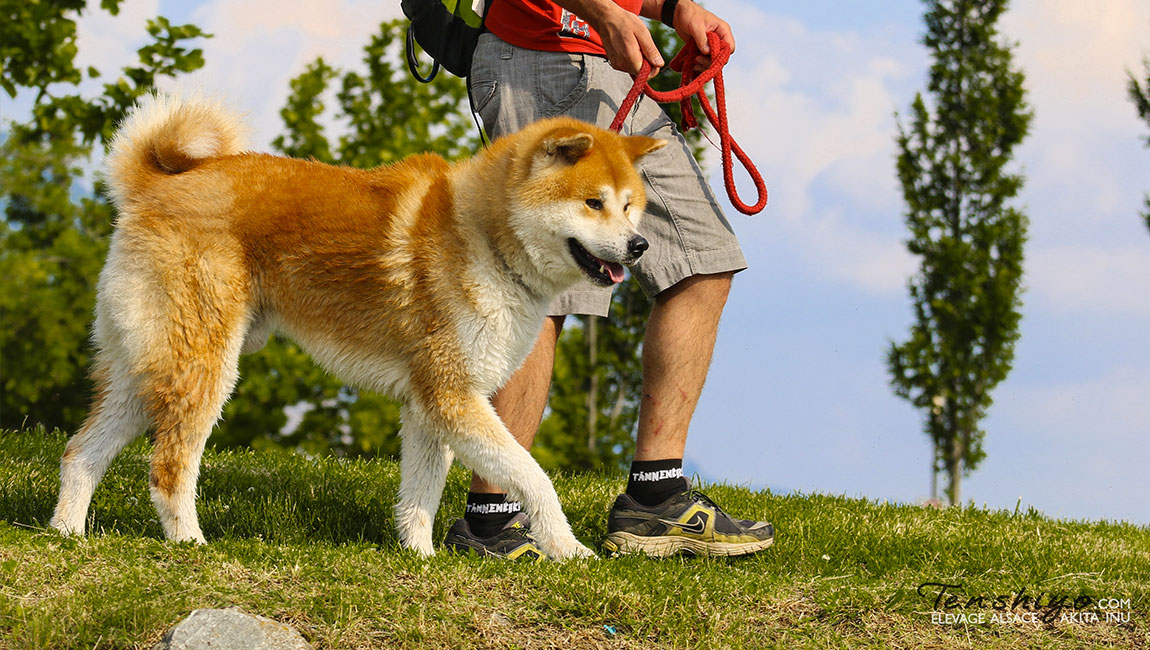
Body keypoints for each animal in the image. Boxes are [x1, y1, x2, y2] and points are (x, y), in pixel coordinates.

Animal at [51, 94, 667, 556]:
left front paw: (420, 559)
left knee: (81, 453)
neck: (485, 236)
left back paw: (65, 534)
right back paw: (190, 544)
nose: (639, 246)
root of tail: (152, 186)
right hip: (203, 367)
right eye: (593, 203)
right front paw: (570, 550)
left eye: (630, 205)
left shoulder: (429, 404)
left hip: (145, 369)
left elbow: (420, 494)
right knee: (168, 469)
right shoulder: (453, 396)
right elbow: (535, 478)